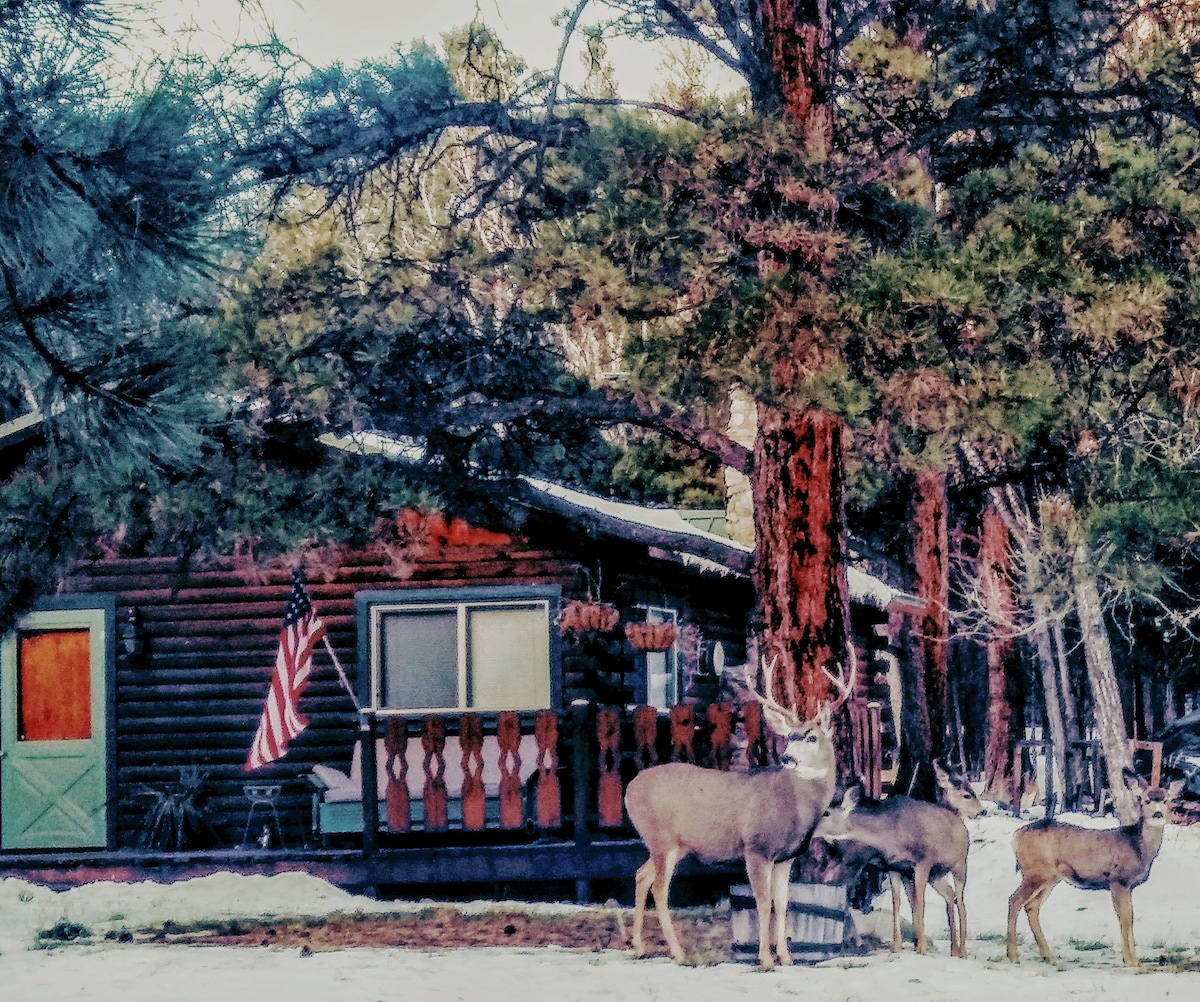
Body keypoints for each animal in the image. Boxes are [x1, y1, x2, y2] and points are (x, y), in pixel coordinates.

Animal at [624, 652, 849, 969]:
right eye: (789, 736)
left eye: (811, 737)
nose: (787, 758)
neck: (794, 807)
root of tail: (629, 789)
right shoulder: (756, 848)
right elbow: (763, 902)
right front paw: (765, 959)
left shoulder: (786, 858)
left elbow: (783, 904)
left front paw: (786, 958)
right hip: (660, 838)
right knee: (658, 888)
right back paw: (678, 952)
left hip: (677, 845)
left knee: (641, 876)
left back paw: (639, 947)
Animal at [816, 758, 984, 960]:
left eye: (826, 813)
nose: (982, 811)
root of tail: (961, 824)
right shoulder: (895, 868)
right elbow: (898, 903)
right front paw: (897, 947)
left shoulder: (923, 862)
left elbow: (919, 902)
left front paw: (921, 948)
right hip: (936, 876)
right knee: (950, 895)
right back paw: (953, 949)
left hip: (960, 864)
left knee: (961, 902)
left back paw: (963, 951)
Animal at [1003, 763, 1180, 969]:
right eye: (1145, 800)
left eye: (1165, 800)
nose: (1158, 814)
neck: (1138, 847)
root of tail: (1015, 837)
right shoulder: (1118, 880)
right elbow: (1125, 919)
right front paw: (1130, 960)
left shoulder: (1128, 886)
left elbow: (1130, 918)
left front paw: (1135, 960)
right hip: (1035, 872)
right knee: (1015, 900)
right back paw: (1013, 955)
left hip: (1050, 877)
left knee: (1032, 906)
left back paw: (1049, 956)